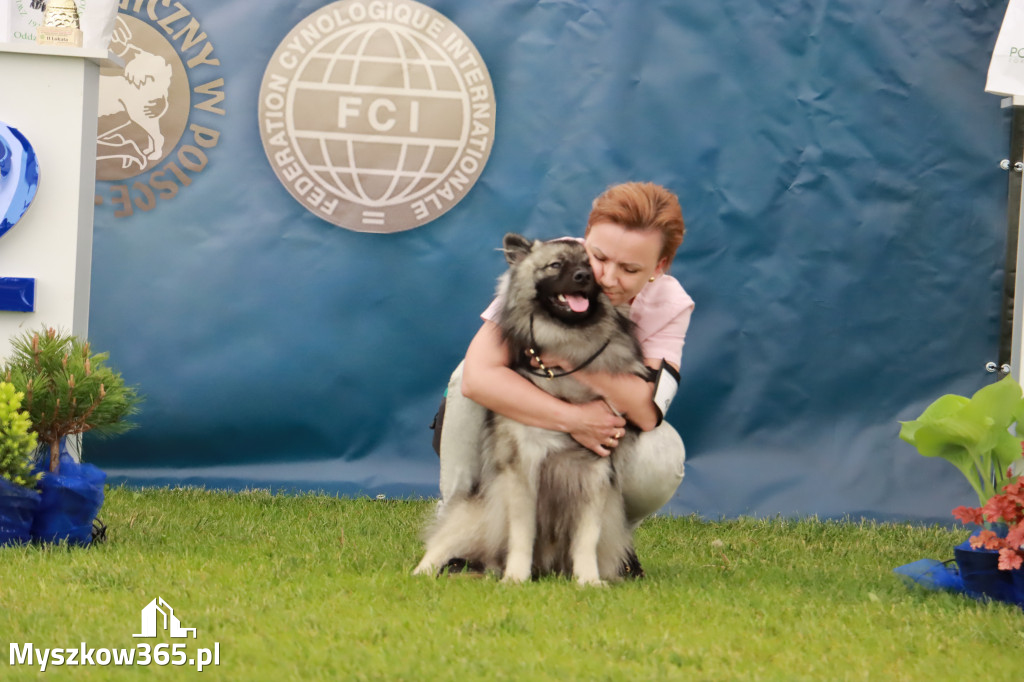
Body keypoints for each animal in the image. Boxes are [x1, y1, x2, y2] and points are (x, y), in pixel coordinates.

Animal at [413, 233, 647, 585]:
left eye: (590, 266)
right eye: (556, 265)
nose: (584, 277)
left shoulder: (593, 473)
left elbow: (586, 537)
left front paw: (588, 581)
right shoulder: (524, 468)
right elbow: (523, 532)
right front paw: (516, 578)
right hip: (476, 518)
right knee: (440, 544)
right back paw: (422, 573)